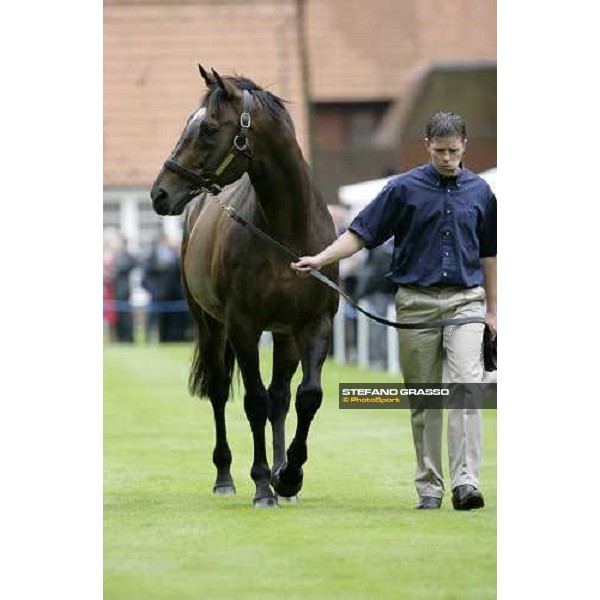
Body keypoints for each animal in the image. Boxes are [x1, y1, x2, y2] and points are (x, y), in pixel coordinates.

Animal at [149, 65, 338, 506]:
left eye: (208, 129)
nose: (159, 193)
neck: (287, 231)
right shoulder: (243, 326)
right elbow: (253, 401)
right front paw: (263, 483)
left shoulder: (314, 324)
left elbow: (307, 396)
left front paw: (289, 476)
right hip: (211, 326)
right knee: (220, 391)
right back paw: (225, 477)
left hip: (283, 334)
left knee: (281, 397)